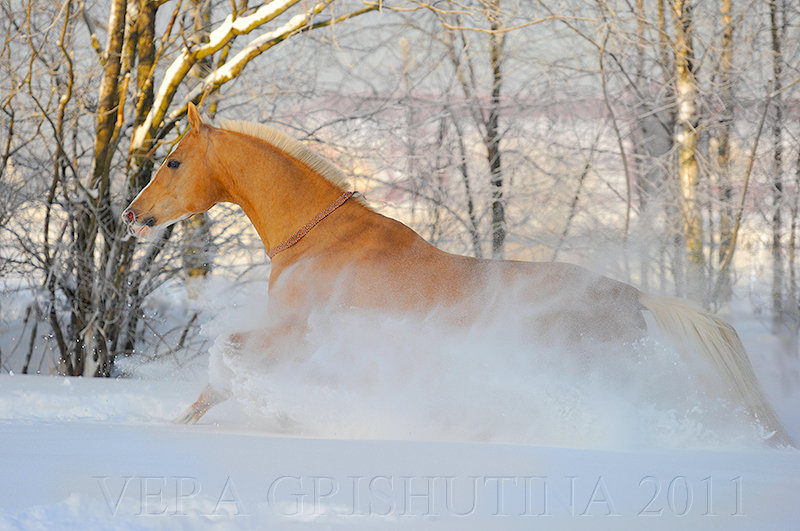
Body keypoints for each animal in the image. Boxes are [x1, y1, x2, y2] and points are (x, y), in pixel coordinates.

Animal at [125, 102, 792, 446]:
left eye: (174, 160)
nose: (133, 215)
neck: (318, 240)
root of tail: (629, 293)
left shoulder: (294, 333)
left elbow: (227, 359)